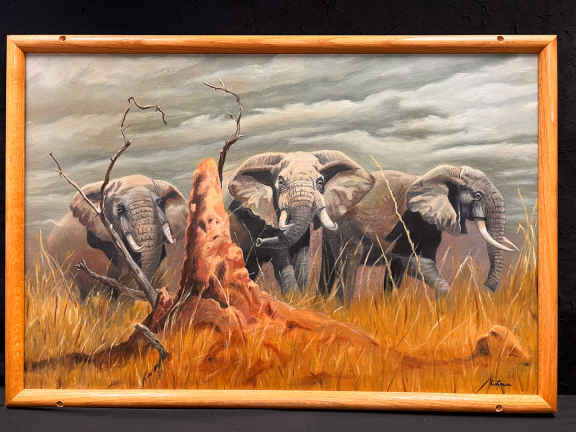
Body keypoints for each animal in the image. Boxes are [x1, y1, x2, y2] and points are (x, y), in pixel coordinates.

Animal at [318, 165, 518, 299]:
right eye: (478, 196)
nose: (488, 287)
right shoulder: (411, 222)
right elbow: (416, 262)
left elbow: (400, 269)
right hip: (346, 230)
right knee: (348, 266)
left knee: (329, 267)